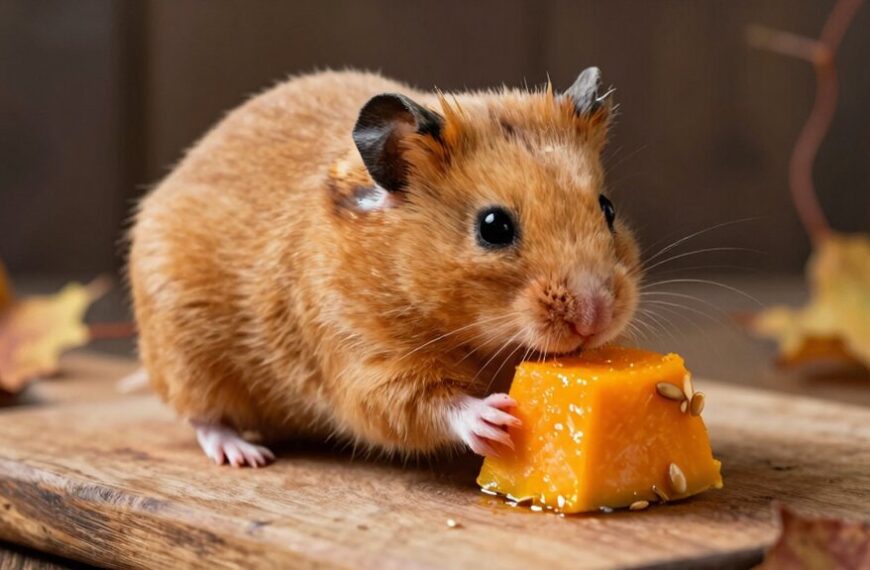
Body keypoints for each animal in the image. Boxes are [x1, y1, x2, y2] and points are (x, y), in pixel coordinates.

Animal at [128, 68, 641, 467]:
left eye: (608, 208)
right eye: (493, 227)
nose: (595, 318)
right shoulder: (363, 358)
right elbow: (424, 403)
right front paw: (494, 417)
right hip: (186, 352)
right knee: (203, 416)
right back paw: (243, 455)